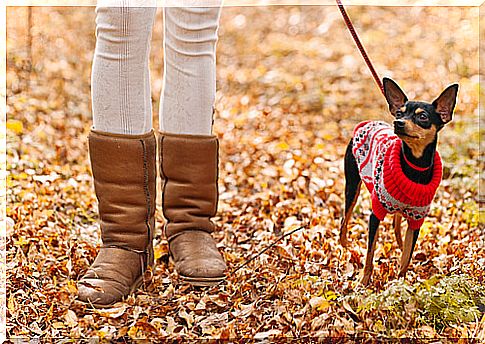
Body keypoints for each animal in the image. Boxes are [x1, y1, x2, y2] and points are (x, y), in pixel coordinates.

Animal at [336, 77, 458, 284]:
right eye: (400, 113)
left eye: (423, 116)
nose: (398, 122)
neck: (414, 167)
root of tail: (366, 123)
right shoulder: (375, 214)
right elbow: (370, 253)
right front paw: (364, 281)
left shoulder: (417, 219)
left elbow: (406, 257)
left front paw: (401, 283)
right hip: (352, 187)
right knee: (345, 220)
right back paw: (346, 247)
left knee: (397, 225)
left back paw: (400, 245)